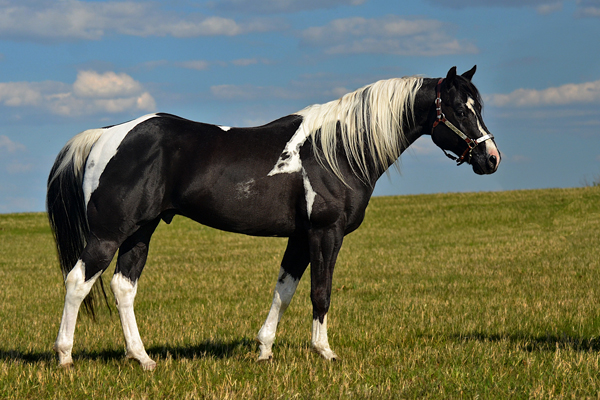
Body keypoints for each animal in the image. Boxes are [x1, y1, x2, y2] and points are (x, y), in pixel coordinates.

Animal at [44, 65, 500, 368]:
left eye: (478, 107)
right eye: (460, 110)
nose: (491, 159)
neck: (334, 150)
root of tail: (106, 135)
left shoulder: (299, 237)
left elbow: (285, 289)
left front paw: (264, 350)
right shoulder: (325, 233)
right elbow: (320, 292)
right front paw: (325, 352)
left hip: (142, 230)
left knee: (123, 286)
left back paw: (143, 359)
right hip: (108, 233)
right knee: (78, 281)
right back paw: (65, 358)